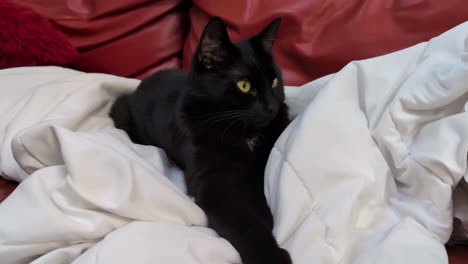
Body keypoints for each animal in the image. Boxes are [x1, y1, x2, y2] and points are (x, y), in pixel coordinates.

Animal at [110, 17, 292, 264]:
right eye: (244, 86)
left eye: (274, 82)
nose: (272, 108)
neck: (244, 133)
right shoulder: (211, 182)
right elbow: (242, 221)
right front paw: (270, 256)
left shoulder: (258, 165)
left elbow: (256, 194)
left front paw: (266, 218)